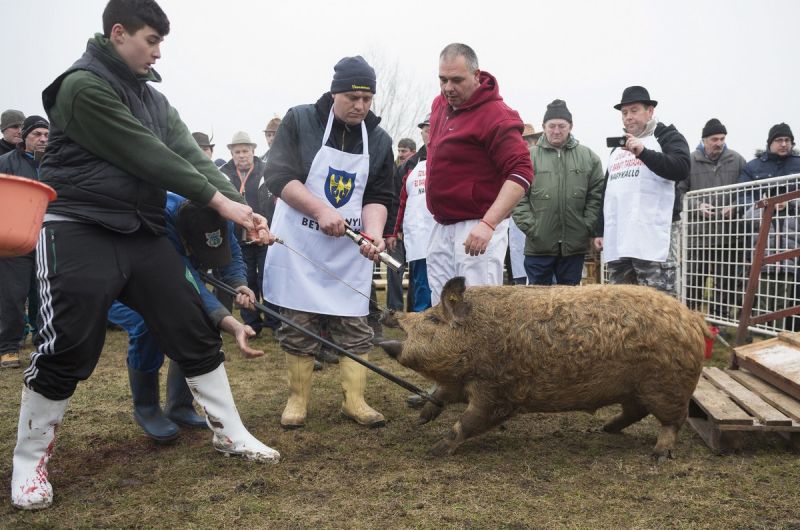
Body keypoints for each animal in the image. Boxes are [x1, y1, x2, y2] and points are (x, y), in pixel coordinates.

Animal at [380, 276, 708, 458]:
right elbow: (442, 395)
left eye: (434, 319)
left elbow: (470, 421)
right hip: (635, 389)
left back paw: (659, 455)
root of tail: (691, 317)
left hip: (667, 385)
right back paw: (604, 429)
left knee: (672, 421)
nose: (390, 313)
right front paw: (421, 419)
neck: (478, 339)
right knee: (634, 412)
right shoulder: (461, 383)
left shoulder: (499, 393)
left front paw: (432, 452)